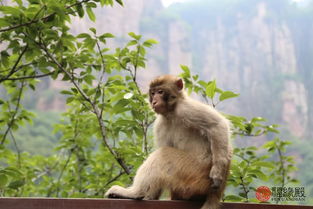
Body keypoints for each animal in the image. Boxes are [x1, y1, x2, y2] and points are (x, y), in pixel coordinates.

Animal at [105, 74, 232, 208]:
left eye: (160, 92)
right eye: (153, 93)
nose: (154, 101)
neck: (171, 112)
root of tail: (215, 194)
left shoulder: (186, 108)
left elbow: (217, 125)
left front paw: (217, 173)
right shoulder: (160, 124)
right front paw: (154, 195)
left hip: (196, 174)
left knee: (162, 155)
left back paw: (136, 193)